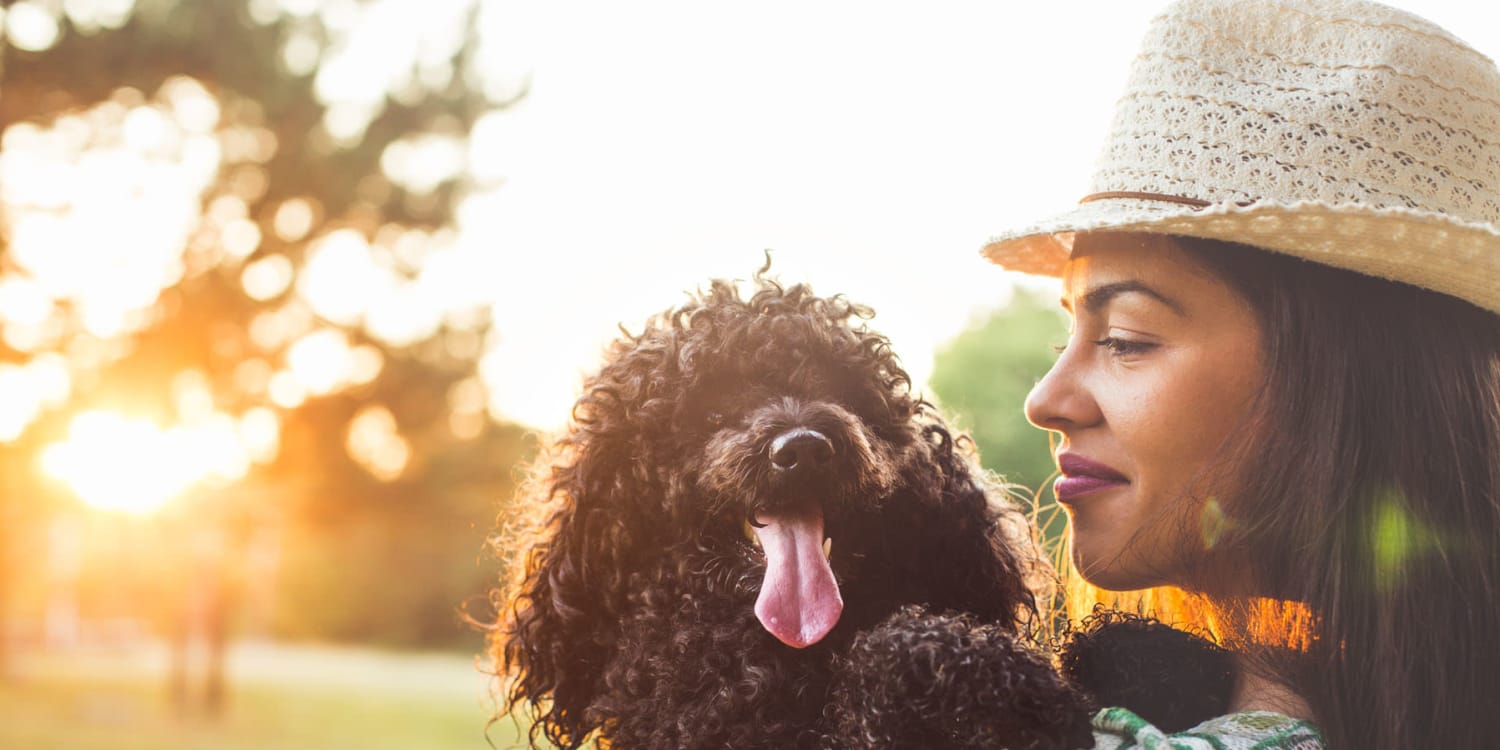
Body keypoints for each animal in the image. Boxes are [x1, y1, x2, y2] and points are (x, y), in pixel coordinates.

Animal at [492, 267, 1230, 747]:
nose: (803, 449)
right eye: (711, 408)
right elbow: (896, 653)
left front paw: (1162, 658)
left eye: (841, 390)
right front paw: (1019, 694)